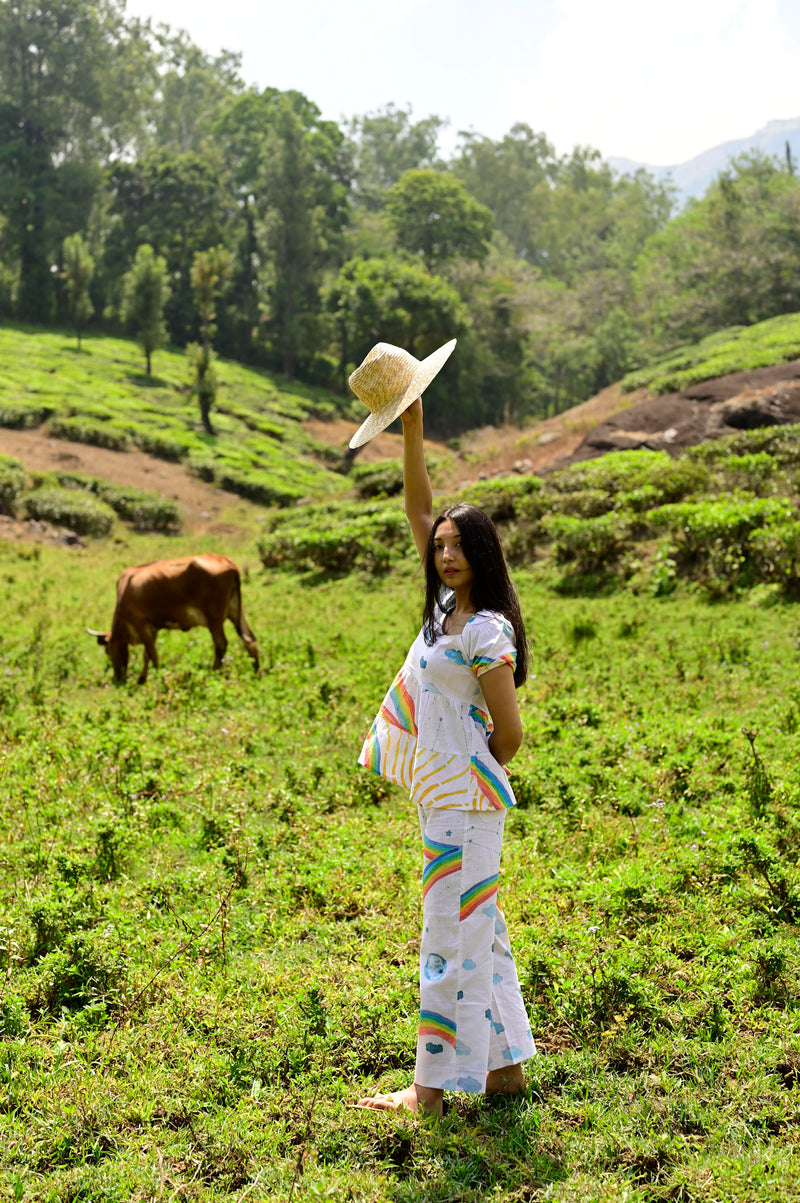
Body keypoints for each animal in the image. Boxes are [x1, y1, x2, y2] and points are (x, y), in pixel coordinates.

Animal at [89, 550, 261, 683]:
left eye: (108, 651)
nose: (116, 677)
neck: (125, 589)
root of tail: (224, 560)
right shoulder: (152, 629)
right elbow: (146, 655)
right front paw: (142, 678)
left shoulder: (141, 624)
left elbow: (152, 653)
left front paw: (156, 676)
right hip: (235, 611)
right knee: (249, 639)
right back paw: (256, 672)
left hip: (215, 619)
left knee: (221, 644)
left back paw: (214, 672)